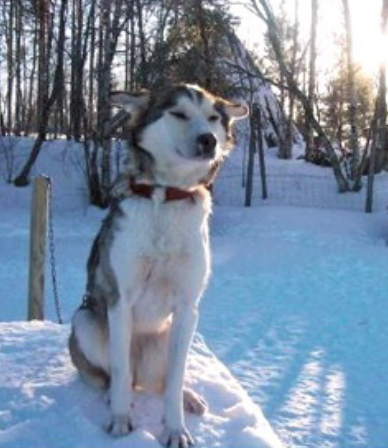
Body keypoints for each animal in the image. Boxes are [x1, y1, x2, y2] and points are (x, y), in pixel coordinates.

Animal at [68, 83, 247, 444]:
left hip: (171, 337)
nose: (209, 140)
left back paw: (189, 397)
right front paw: (120, 419)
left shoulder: (187, 306)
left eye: (213, 118)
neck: (167, 195)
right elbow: (120, 372)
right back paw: (112, 396)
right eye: (178, 113)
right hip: (85, 321)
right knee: (115, 377)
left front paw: (175, 429)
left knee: (165, 380)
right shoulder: (120, 301)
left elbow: (175, 381)